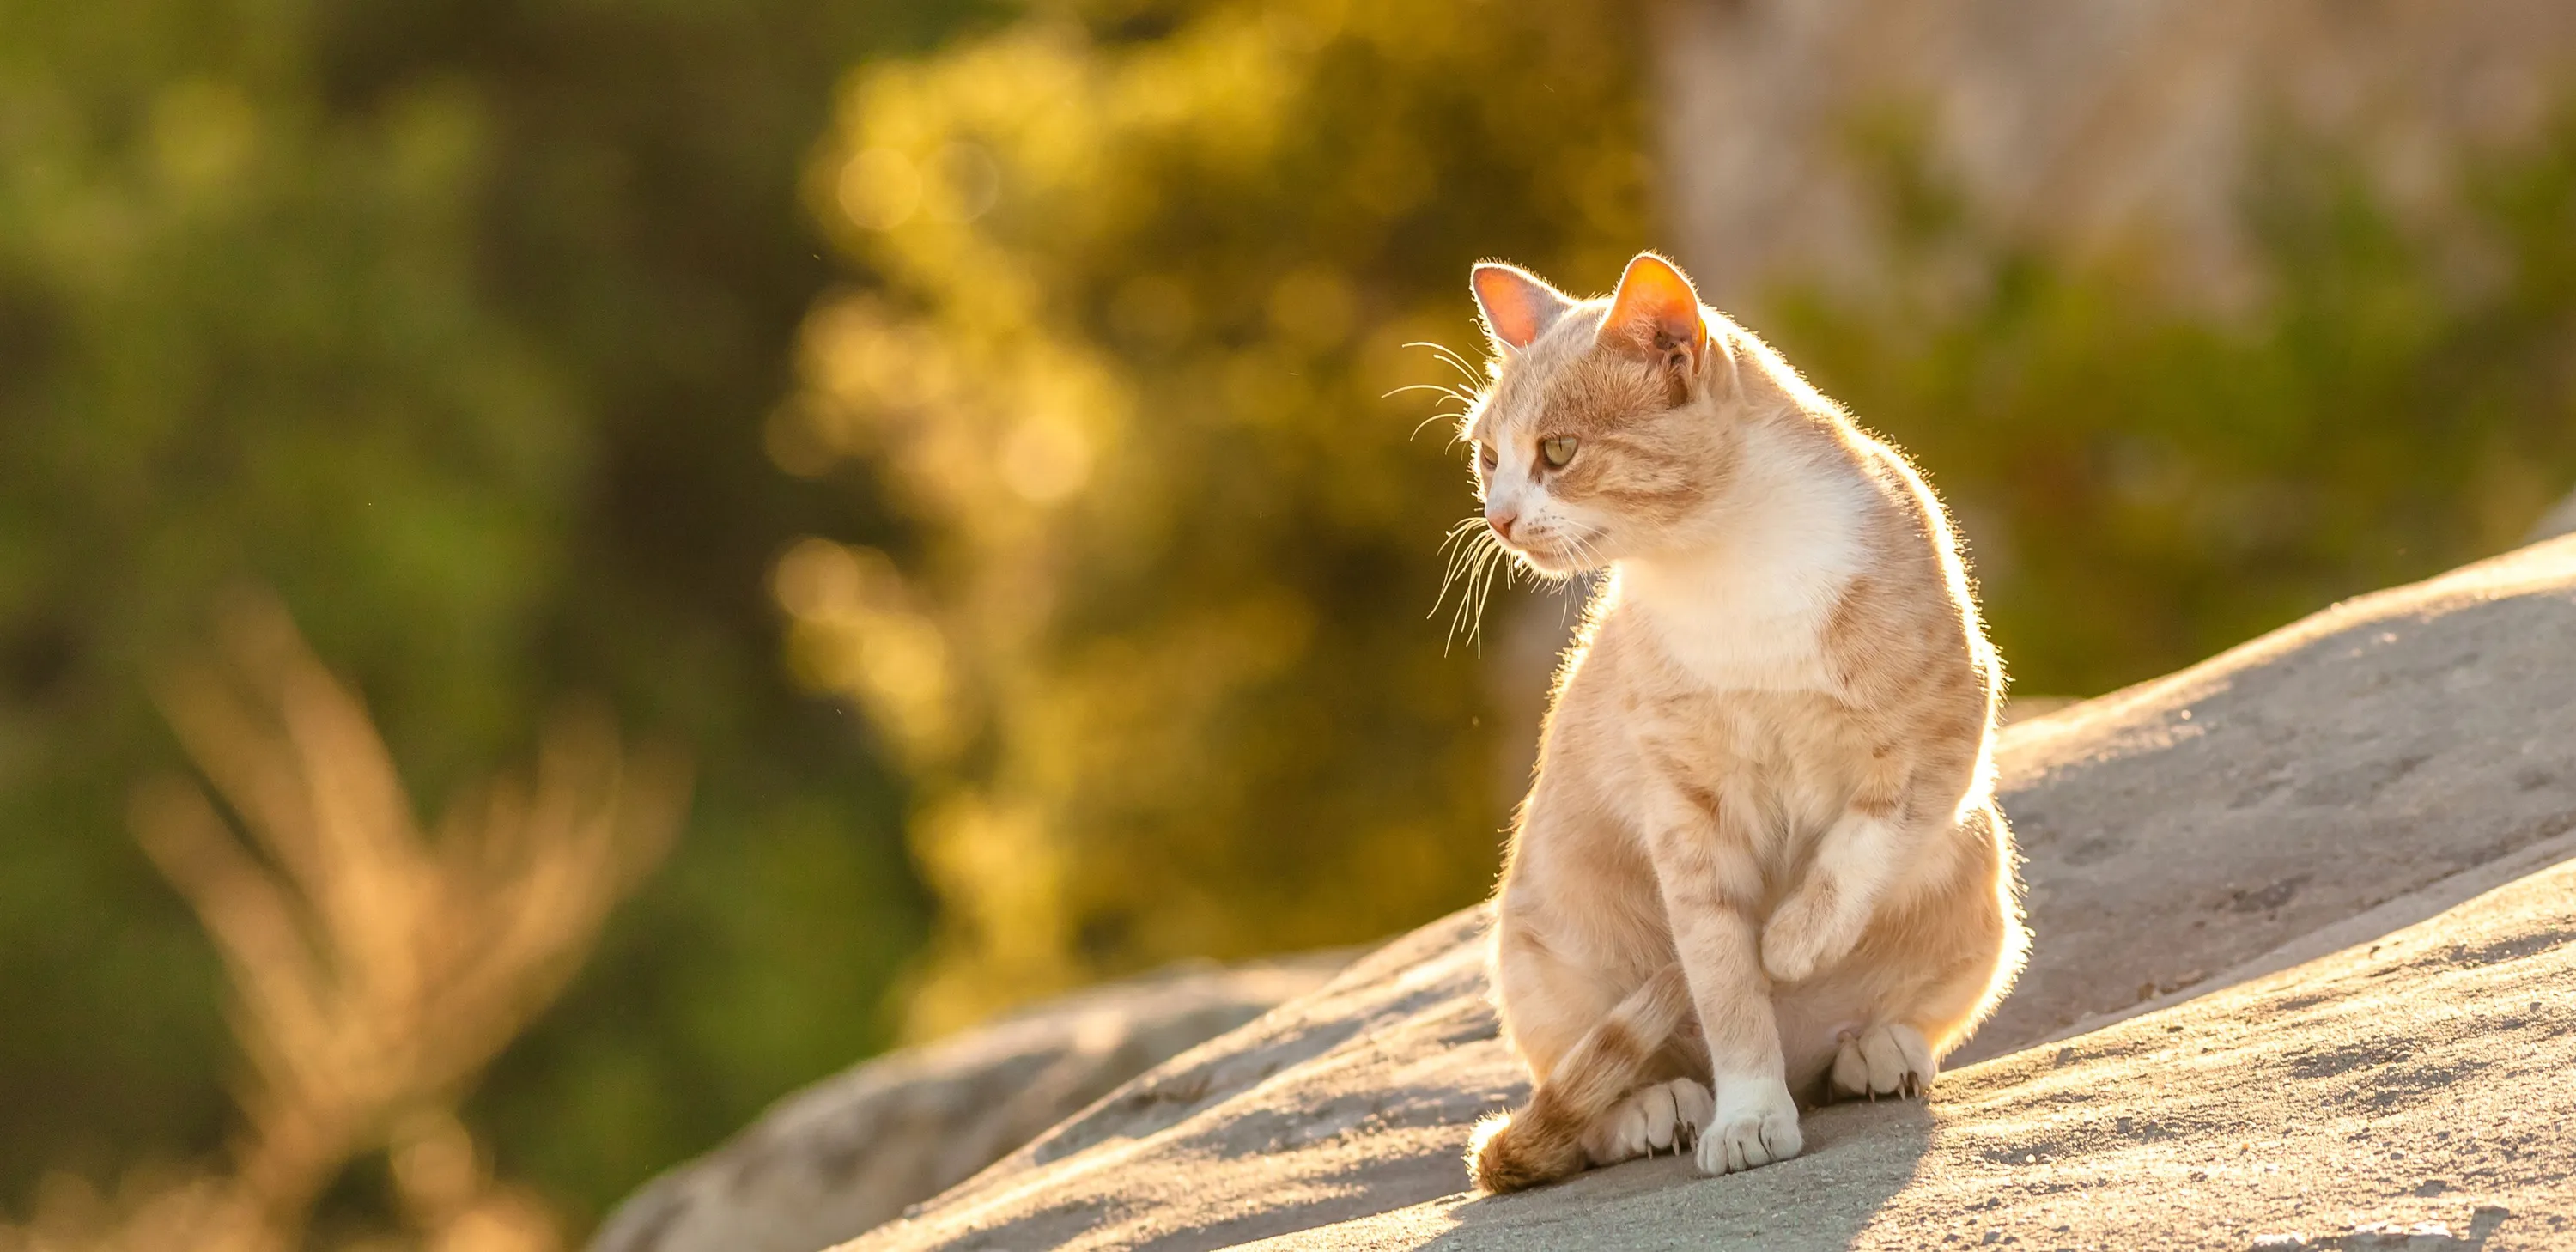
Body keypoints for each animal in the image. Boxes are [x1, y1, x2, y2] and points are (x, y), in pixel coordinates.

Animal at [1453, 253, 2030, 1195]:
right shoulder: (1689, 813)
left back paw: (1877, 1050)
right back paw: (1660, 1107)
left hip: (1979, 861)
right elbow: (1727, 984)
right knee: (1588, 1104)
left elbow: (1865, 842)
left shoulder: (1945, 724)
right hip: (1544, 955)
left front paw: (1795, 941)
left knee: (1902, 1022)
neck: (1725, 566)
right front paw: (1750, 1115)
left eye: (1559, 452)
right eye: (1489, 456)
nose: (1499, 518)